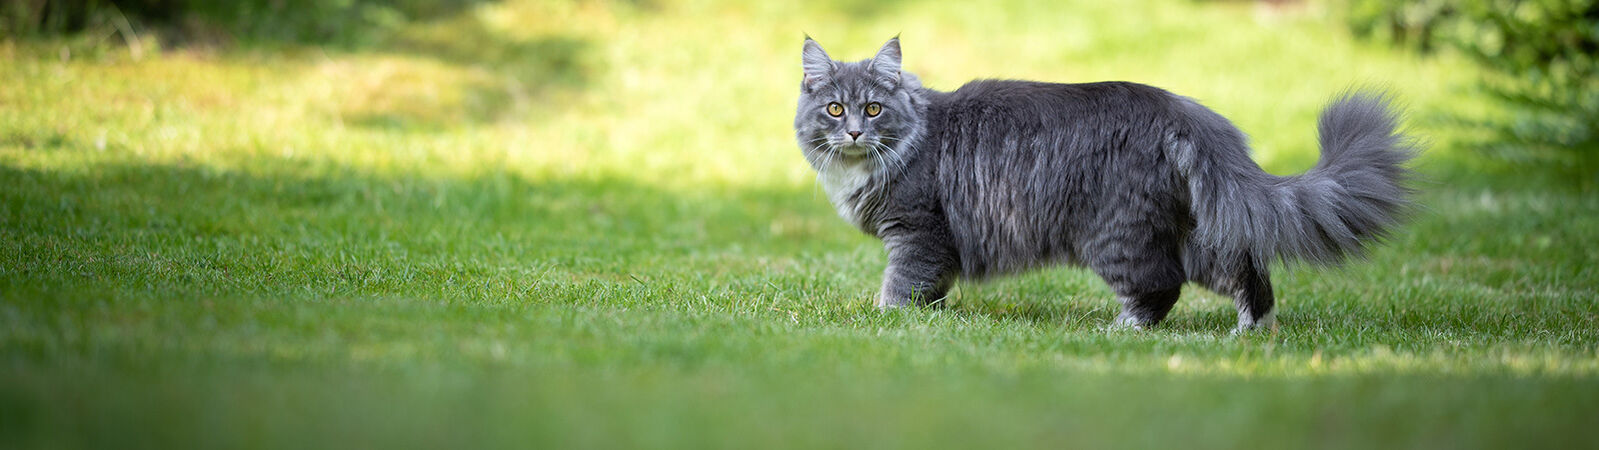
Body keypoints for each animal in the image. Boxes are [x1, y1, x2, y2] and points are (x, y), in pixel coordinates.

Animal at [793, 36, 1419, 331]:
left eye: (874, 109)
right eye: (834, 109)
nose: (853, 131)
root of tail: (1178, 109)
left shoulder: (917, 232)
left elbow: (901, 286)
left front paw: (886, 320)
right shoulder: (934, 245)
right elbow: (932, 291)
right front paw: (931, 318)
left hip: (1116, 234)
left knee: (1161, 287)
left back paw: (1122, 331)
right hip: (1190, 230)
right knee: (1245, 270)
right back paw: (1252, 333)